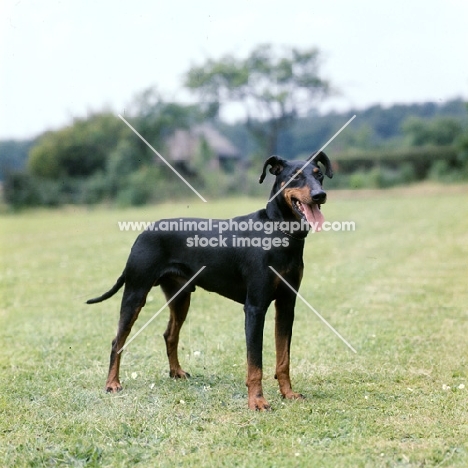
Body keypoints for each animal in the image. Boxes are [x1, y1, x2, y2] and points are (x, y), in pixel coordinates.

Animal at [87, 151, 332, 410]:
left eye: (319, 175)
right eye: (295, 175)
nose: (320, 195)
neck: (278, 231)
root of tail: (143, 233)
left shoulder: (286, 304)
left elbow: (283, 358)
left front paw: (288, 393)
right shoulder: (255, 308)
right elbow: (255, 363)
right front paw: (256, 401)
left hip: (181, 297)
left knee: (170, 335)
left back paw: (176, 372)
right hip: (135, 293)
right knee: (117, 341)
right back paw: (112, 383)